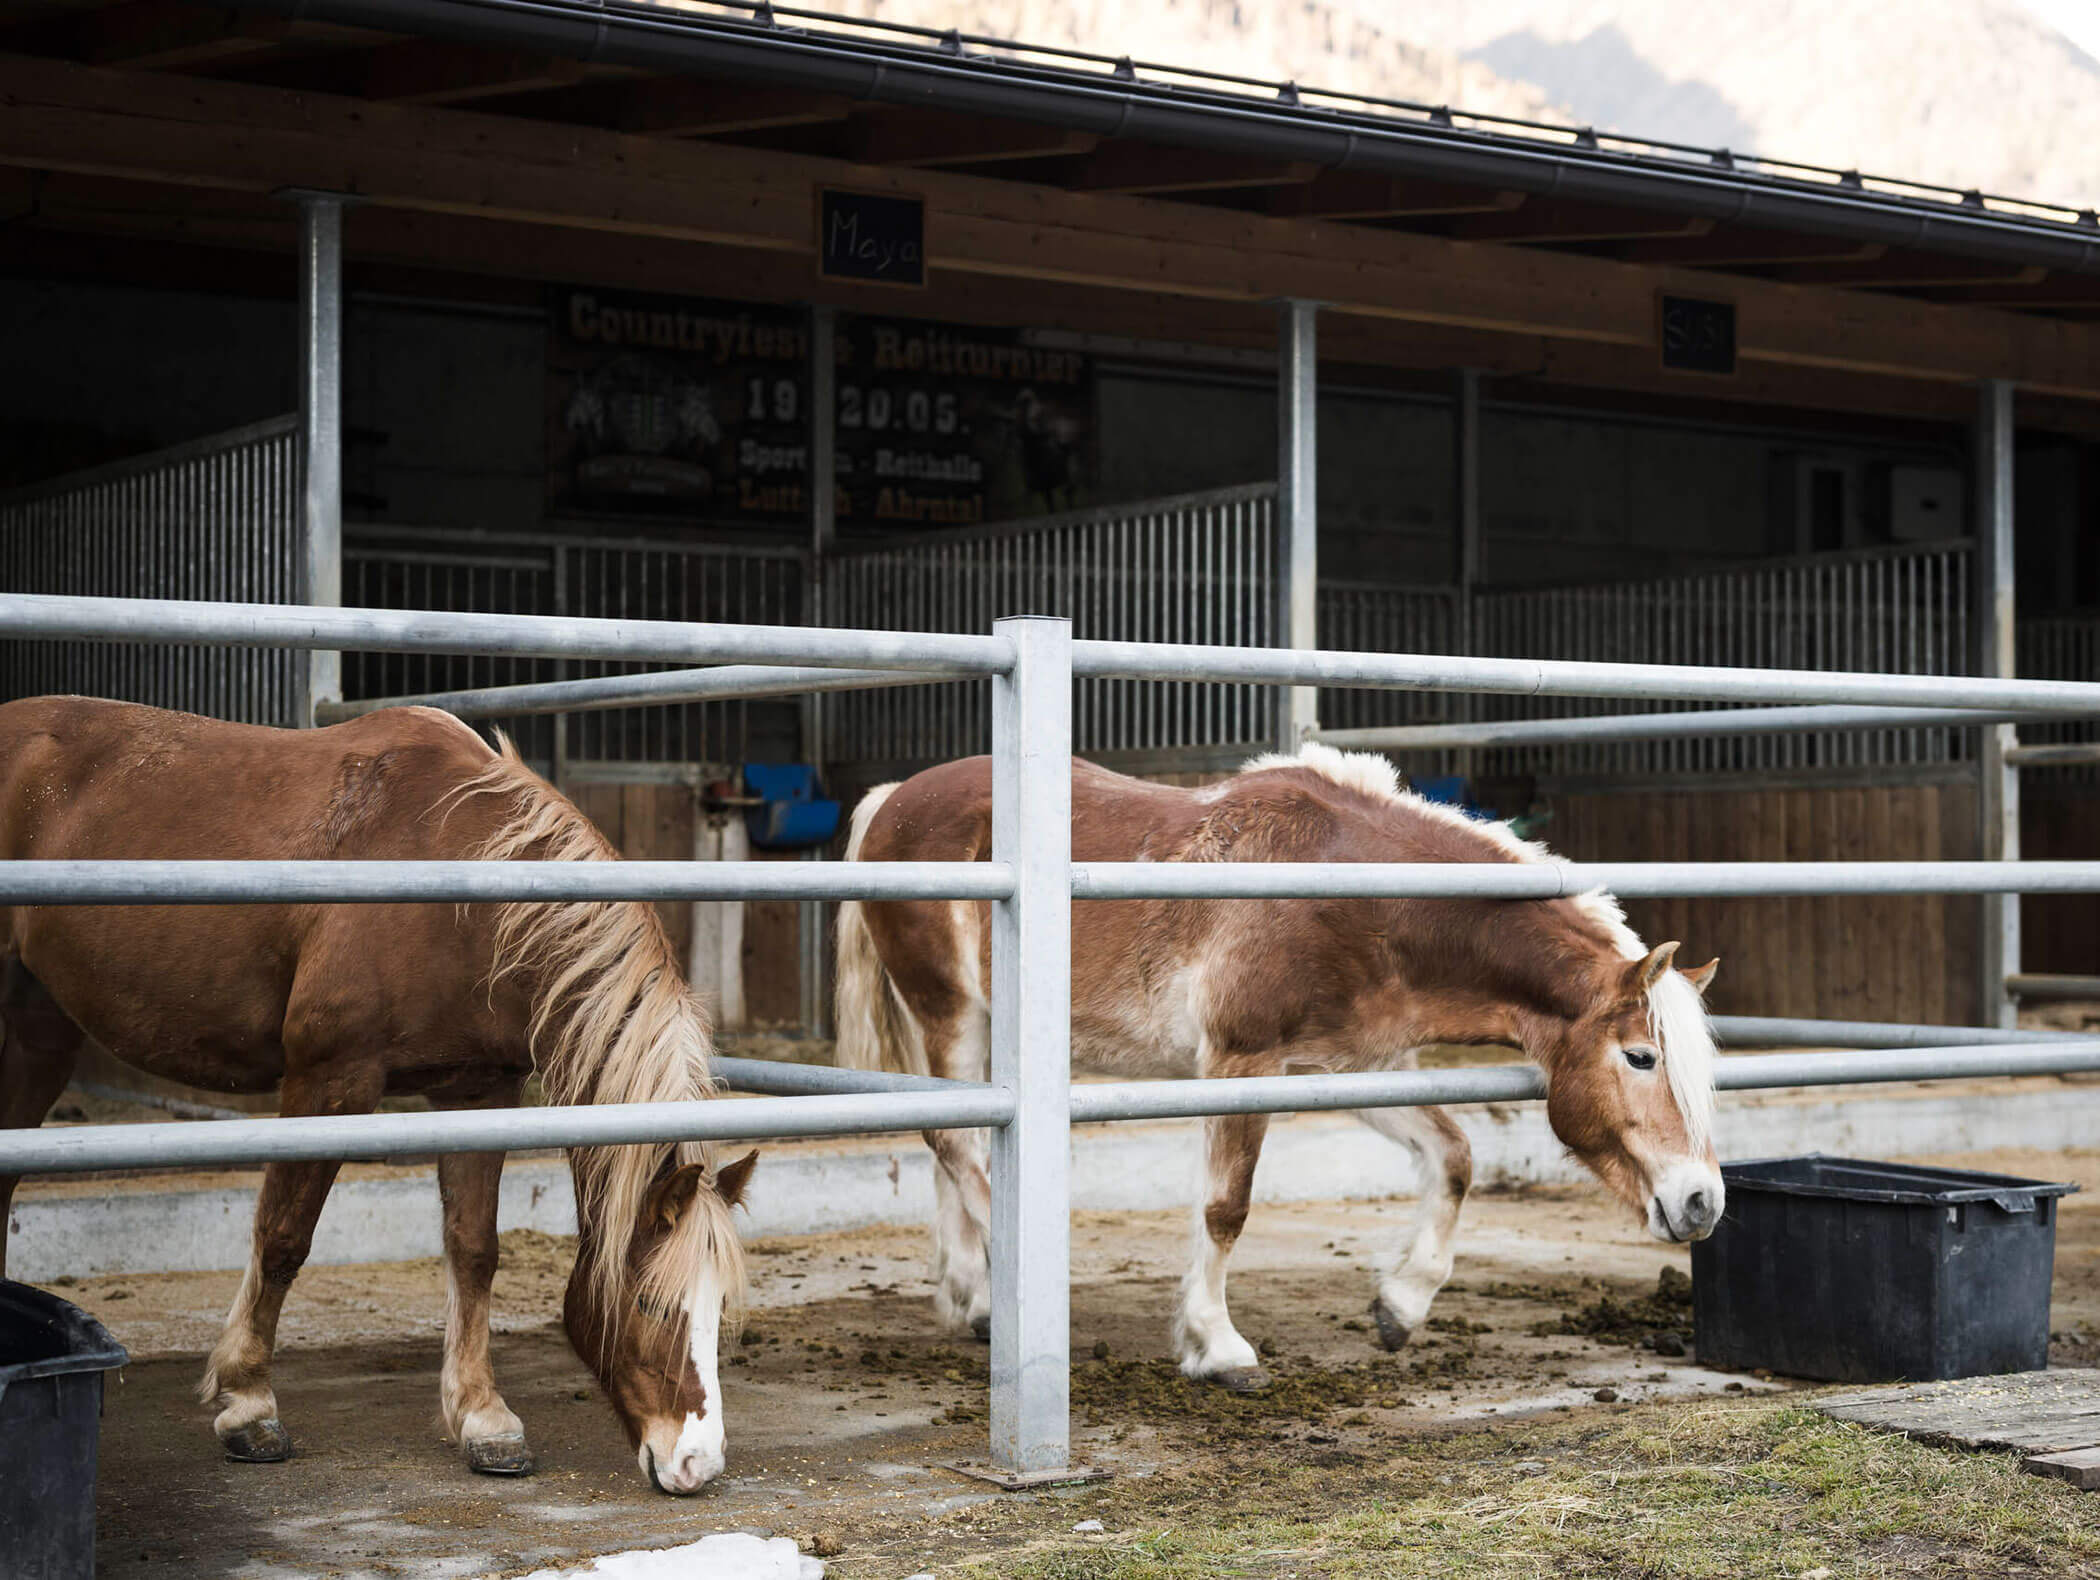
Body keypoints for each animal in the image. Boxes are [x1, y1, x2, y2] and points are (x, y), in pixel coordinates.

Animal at [0, 696, 754, 1492]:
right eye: (651, 1303)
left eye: (719, 1304)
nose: (697, 1461)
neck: (461, 886)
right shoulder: (329, 1081)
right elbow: (283, 1237)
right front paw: (248, 1404)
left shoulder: (479, 1095)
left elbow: (473, 1248)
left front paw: (484, 1418)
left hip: (41, 1024)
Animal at [836, 742, 1721, 1389]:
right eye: (1641, 1057)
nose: (1703, 1201)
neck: (1357, 898)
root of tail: (894, 798)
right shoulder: (1241, 1064)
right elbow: (1225, 1210)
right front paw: (1216, 1346)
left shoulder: (1357, 1067)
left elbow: (1454, 1157)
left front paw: (1402, 1304)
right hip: (952, 1012)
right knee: (956, 1143)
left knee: (961, 1142)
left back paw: (976, 1303)